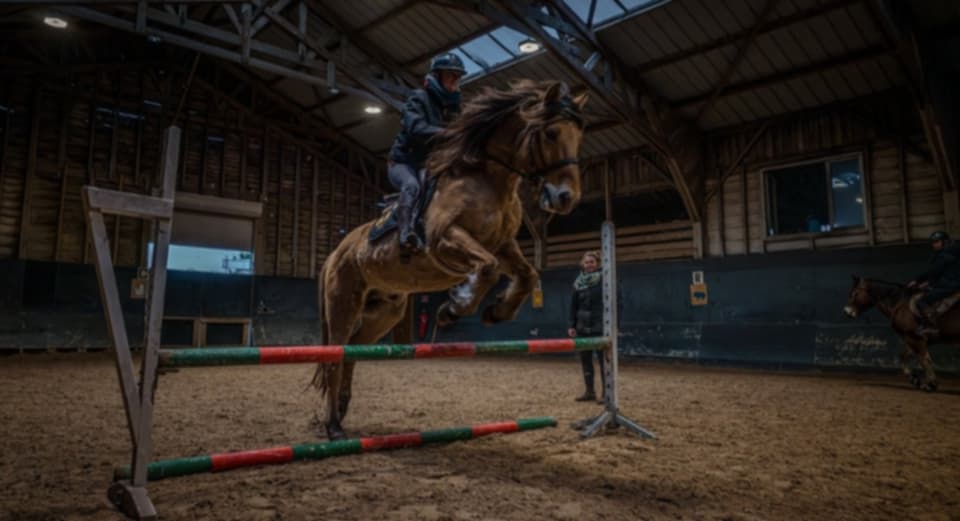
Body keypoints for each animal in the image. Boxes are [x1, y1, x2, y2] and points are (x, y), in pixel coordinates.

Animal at [313, 80, 589, 439]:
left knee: (352, 353)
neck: (489, 180)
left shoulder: (503, 245)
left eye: (578, 136)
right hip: (343, 304)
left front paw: (497, 311)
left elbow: (526, 275)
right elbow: (486, 269)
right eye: (552, 133)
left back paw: (342, 413)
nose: (566, 198)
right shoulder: (445, 240)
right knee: (334, 355)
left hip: (384, 313)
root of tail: (335, 253)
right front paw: (454, 307)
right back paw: (333, 427)